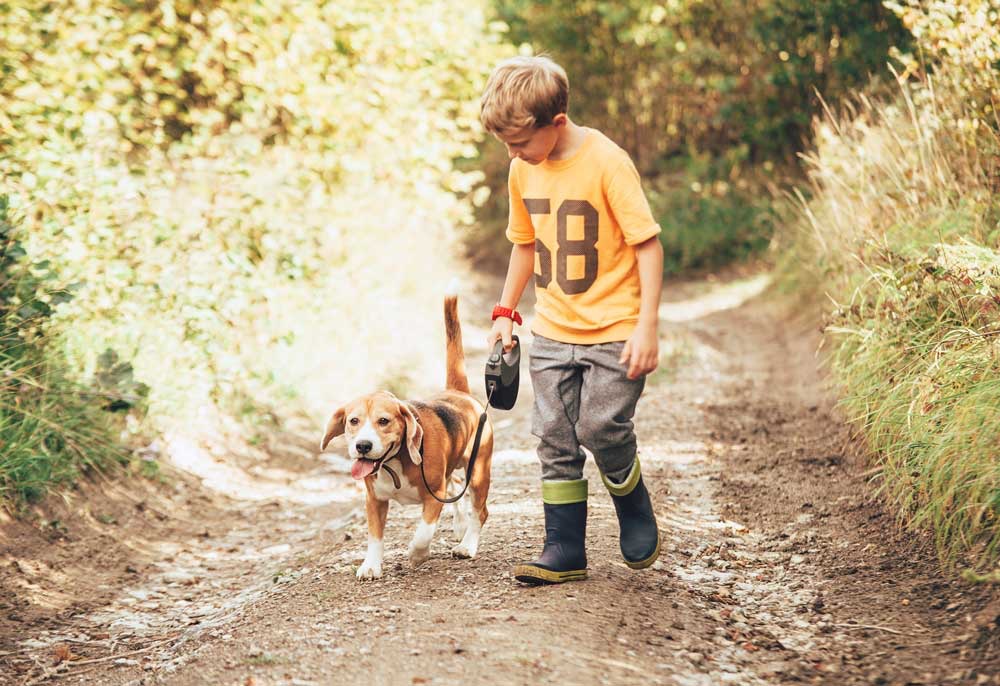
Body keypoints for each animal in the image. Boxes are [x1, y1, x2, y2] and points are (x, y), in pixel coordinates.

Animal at [318, 296, 494, 580]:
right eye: (353, 421)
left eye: (383, 421)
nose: (363, 446)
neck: (393, 462)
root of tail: (458, 393)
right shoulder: (375, 501)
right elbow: (375, 537)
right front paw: (371, 565)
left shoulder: (434, 496)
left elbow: (423, 532)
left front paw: (417, 554)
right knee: (456, 485)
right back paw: (460, 526)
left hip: (478, 472)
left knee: (481, 510)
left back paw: (467, 545)